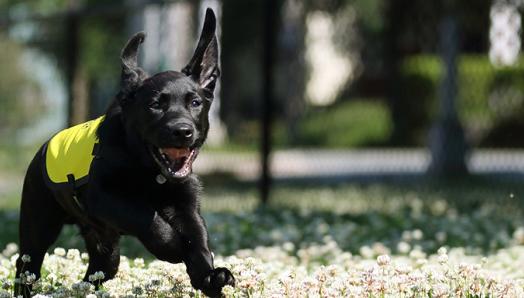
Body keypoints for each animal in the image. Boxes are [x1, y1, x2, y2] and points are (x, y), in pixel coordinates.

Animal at [14, 8, 235, 296]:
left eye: (195, 102)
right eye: (155, 105)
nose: (182, 131)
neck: (150, 171)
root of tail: (41, 150)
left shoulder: (185, 201)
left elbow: (197, 235)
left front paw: (208, 275)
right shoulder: (104, 196)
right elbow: (144, 215)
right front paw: (172, 247)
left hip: (104, 247)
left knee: (96, 272)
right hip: (38, 223)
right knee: (26, 264)